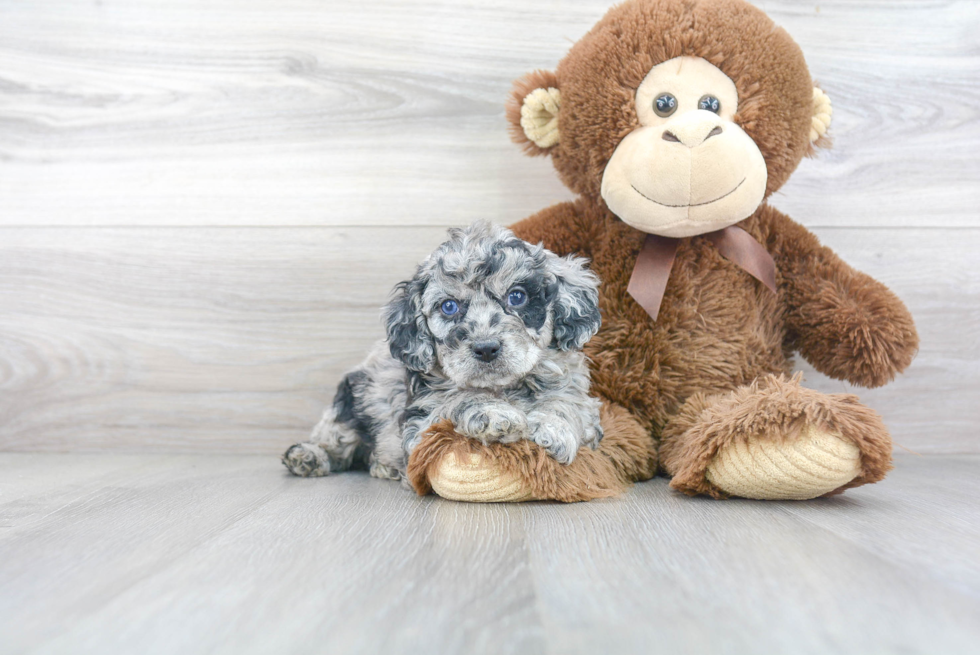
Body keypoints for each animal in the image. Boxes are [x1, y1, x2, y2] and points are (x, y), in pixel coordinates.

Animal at [282, 223, 604, 484]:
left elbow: (566, 402)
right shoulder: (421, 425)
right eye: (449, 306)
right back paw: (308, 456)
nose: (486, 348)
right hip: (350, 405)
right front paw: (492, 412)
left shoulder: (580, 399)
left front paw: (553, 428)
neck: (501, 388)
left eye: (517, 296)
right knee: (335, 442)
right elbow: (457, 399)